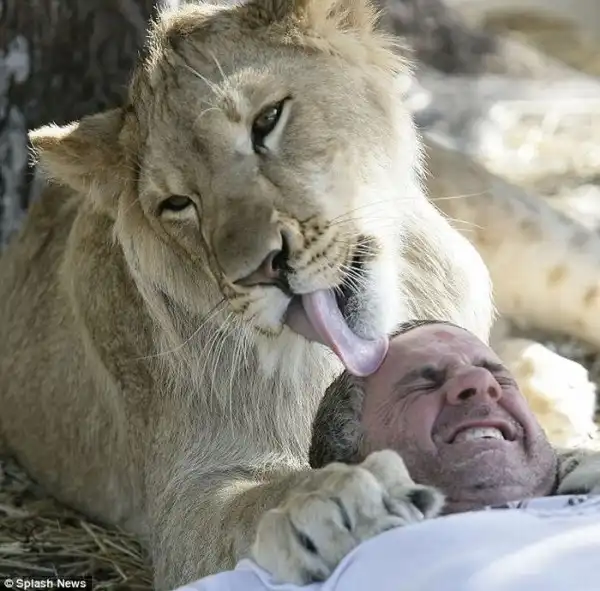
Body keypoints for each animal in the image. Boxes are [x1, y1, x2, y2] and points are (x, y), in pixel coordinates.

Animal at [0, 0, 598, 589]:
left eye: (267, 120)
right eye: (177, 204)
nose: (261, 270)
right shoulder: (184, 497)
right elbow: (254, 504)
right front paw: (332, 502)